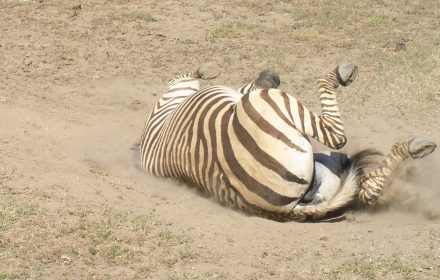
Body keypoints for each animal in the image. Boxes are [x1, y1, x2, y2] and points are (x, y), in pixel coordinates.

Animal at [139, 62, 434, 222]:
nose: (273, 75)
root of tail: (286, 211)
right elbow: (196, 76)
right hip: (276, 107)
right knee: (336, 137)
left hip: (323, 171)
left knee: (366, 191)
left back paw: (416, 148)